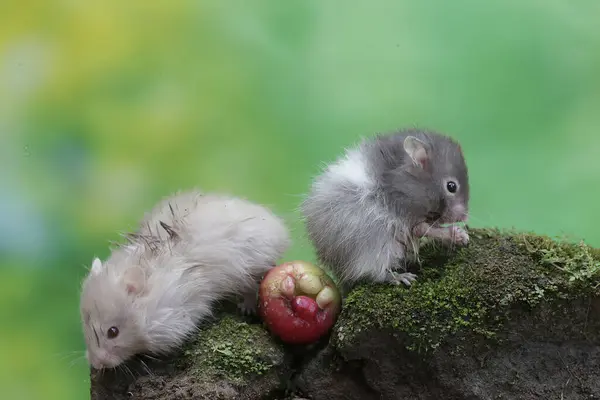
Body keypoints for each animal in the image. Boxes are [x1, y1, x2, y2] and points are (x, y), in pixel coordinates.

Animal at [79, 189, 290, 370]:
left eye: (112, 332)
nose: (96, 364)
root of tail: (279, 229)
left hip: (251, 266)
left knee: (252, 287)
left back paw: (245, 308)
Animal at [300, 130, 468, 290]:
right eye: (451, 186)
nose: (464, 217)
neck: (408, 181)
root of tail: (339, 273)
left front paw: (462, 236)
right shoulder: (407, 215)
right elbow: (425, 229)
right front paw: (460, 235)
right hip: (375, 246)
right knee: (374, 273)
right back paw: (402, 278)